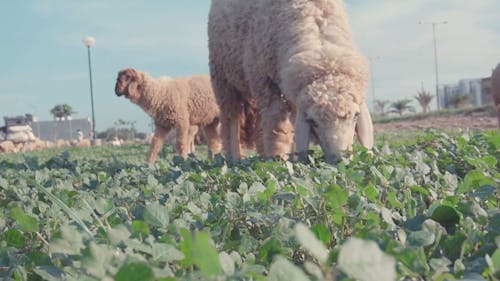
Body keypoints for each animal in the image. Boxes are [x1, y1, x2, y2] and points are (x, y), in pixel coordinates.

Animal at [208, 0, 376, 162]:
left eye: (356, 115)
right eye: (312, 121)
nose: (341, 159)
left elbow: (293, 122)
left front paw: (293, 156)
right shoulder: (266, 82)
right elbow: (276, 123)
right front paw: (278, 158)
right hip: (223, 78)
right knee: (231, 119)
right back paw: (236, 157)